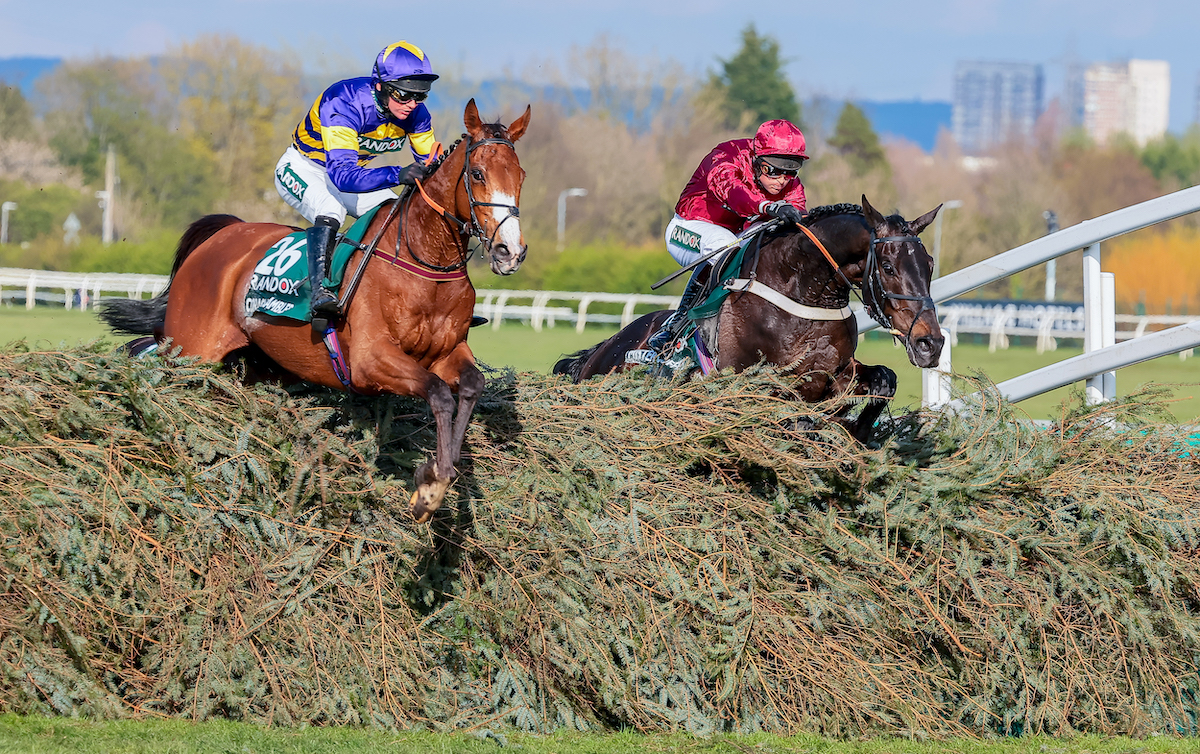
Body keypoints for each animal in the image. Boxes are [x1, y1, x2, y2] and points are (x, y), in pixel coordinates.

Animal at [100, 98, 532, 523]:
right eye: (476, 173)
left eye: (520, 175)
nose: (509, 251)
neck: (424, 260)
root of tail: (223, 234)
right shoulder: (371, 361)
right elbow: (439, 394)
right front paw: (430, 486)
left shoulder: (447, 352)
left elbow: (472, 385)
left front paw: (444, 476)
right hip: (194, 349)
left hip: (254, 363)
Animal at [552, 195, 945, 441]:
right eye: (889, 267)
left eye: (929, 265)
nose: (931, 343)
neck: (803, 294)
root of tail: (601, 351)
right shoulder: (754, 385)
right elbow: (791, 414)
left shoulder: (834, 372)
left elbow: (884, 380)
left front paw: (856, 429)